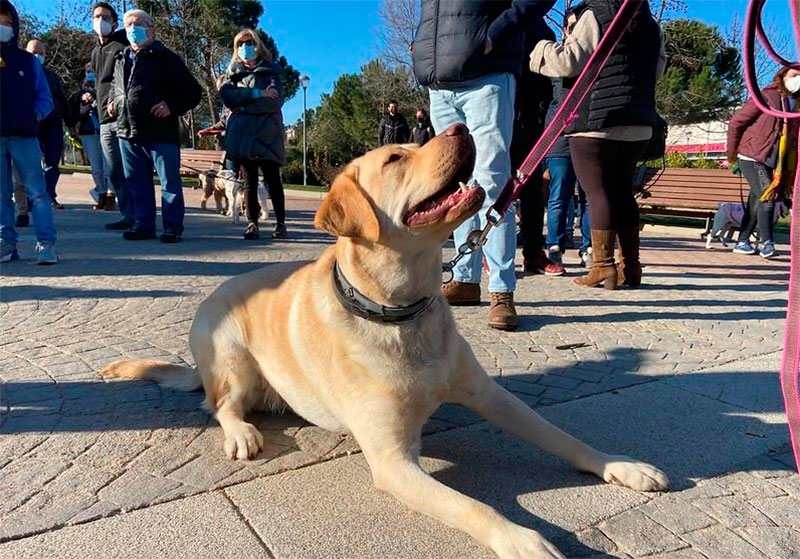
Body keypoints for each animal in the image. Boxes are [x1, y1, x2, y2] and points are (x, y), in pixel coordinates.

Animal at [101, 124, 668, 556]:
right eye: (396, 157)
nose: (461, 128)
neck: (401, 312)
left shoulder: (491, 396)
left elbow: (562, 436)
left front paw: (621, 467)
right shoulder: (395, 462)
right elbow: (474, 505)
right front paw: (522, 539)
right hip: (232, 358)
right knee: (218, 405)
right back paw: (240, 431)